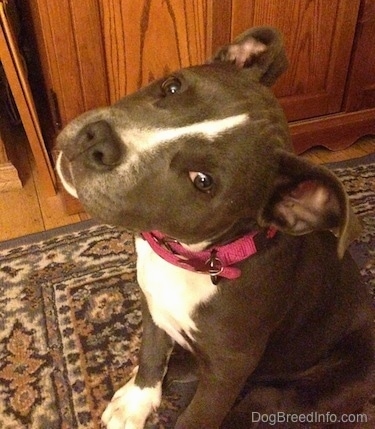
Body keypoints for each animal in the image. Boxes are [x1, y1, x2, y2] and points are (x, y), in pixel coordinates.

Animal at [55, 27, 374, 428]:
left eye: (202, 180)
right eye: (172, 86)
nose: (97, 139)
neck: (200, 259)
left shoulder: (227, 372)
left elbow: (196, 416)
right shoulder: (153, 305)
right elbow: (150, 353)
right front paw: (137, 400)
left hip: (280, 396)